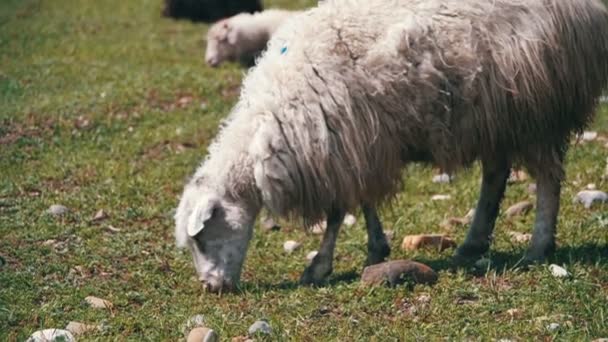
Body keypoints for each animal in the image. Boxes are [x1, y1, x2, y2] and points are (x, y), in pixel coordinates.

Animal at [175, 0, 608, 294]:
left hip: (538, 109)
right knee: (496, 175)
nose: (211, 287)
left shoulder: (339, 147)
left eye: (201, 236)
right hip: (496, 118)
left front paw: (319, 265)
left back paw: (538, 246)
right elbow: (364, 202)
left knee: (547, 178)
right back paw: (472, 242)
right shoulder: (360, 147)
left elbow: (337, 213)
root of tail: (587, 9)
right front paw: (375, 248)